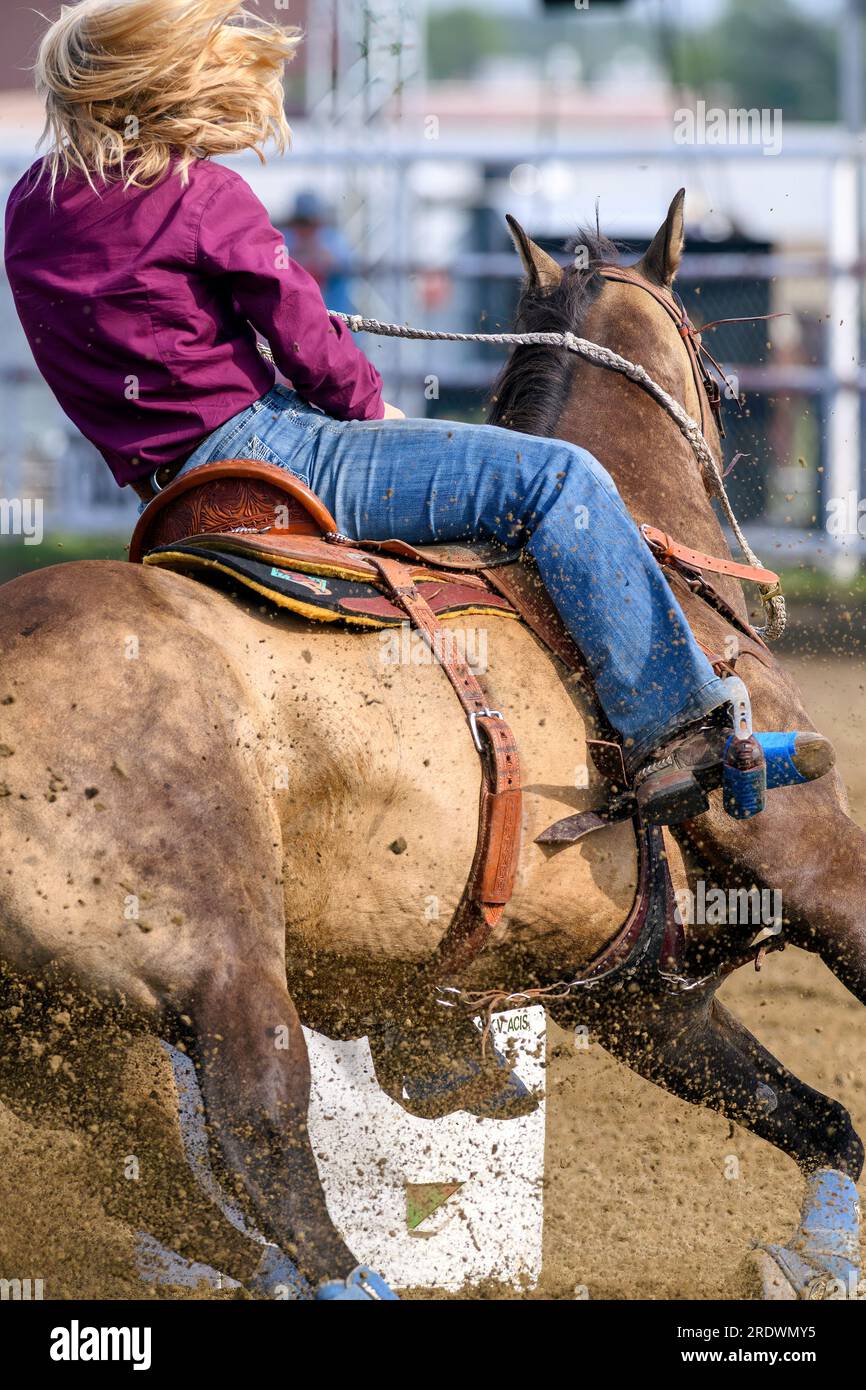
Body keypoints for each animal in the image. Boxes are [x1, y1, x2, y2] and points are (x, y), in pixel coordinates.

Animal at [0, 190, 861, 1295]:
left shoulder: (639, 995)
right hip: (221, 973)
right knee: (263, 1144)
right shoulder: (817, 866)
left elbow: (814, 1119)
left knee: (174, 1196)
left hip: (65, 1048)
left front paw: (813, 1261)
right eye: (711, 364)